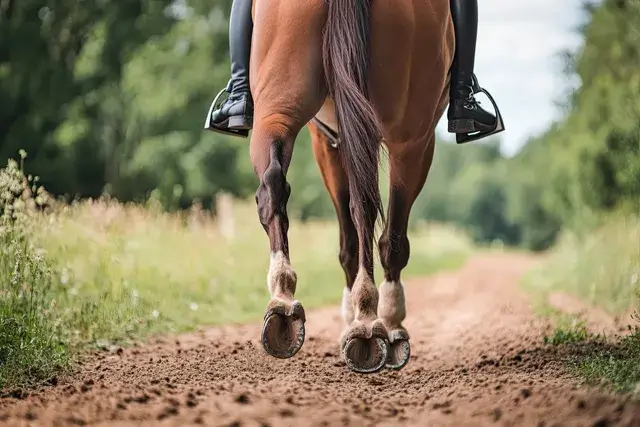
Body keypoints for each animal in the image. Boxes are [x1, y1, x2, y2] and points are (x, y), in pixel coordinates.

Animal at [246, 0, 473, 374]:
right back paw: (375, 320)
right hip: (409, 140)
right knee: (383, 227)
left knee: (274, 188)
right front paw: (383, 321)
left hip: (277, 107)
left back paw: (284, 300)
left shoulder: (327, 140)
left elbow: (349, 239)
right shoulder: (412, 141)